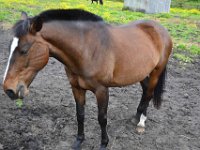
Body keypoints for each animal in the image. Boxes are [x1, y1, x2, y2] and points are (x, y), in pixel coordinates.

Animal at [2, 8, 172, 149]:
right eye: (10, 47)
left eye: (24, 50)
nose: (8, 89)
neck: (87, 49)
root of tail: (160, 29)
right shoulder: (76, 88)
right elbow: (80, 114)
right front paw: (79, 141)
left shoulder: (102, 90)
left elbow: (102, 118)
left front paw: (103, 144)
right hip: (142, 72)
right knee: (145, 91)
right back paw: (137, 117)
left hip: (156, 72)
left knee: (149, 94)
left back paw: (141, 123)